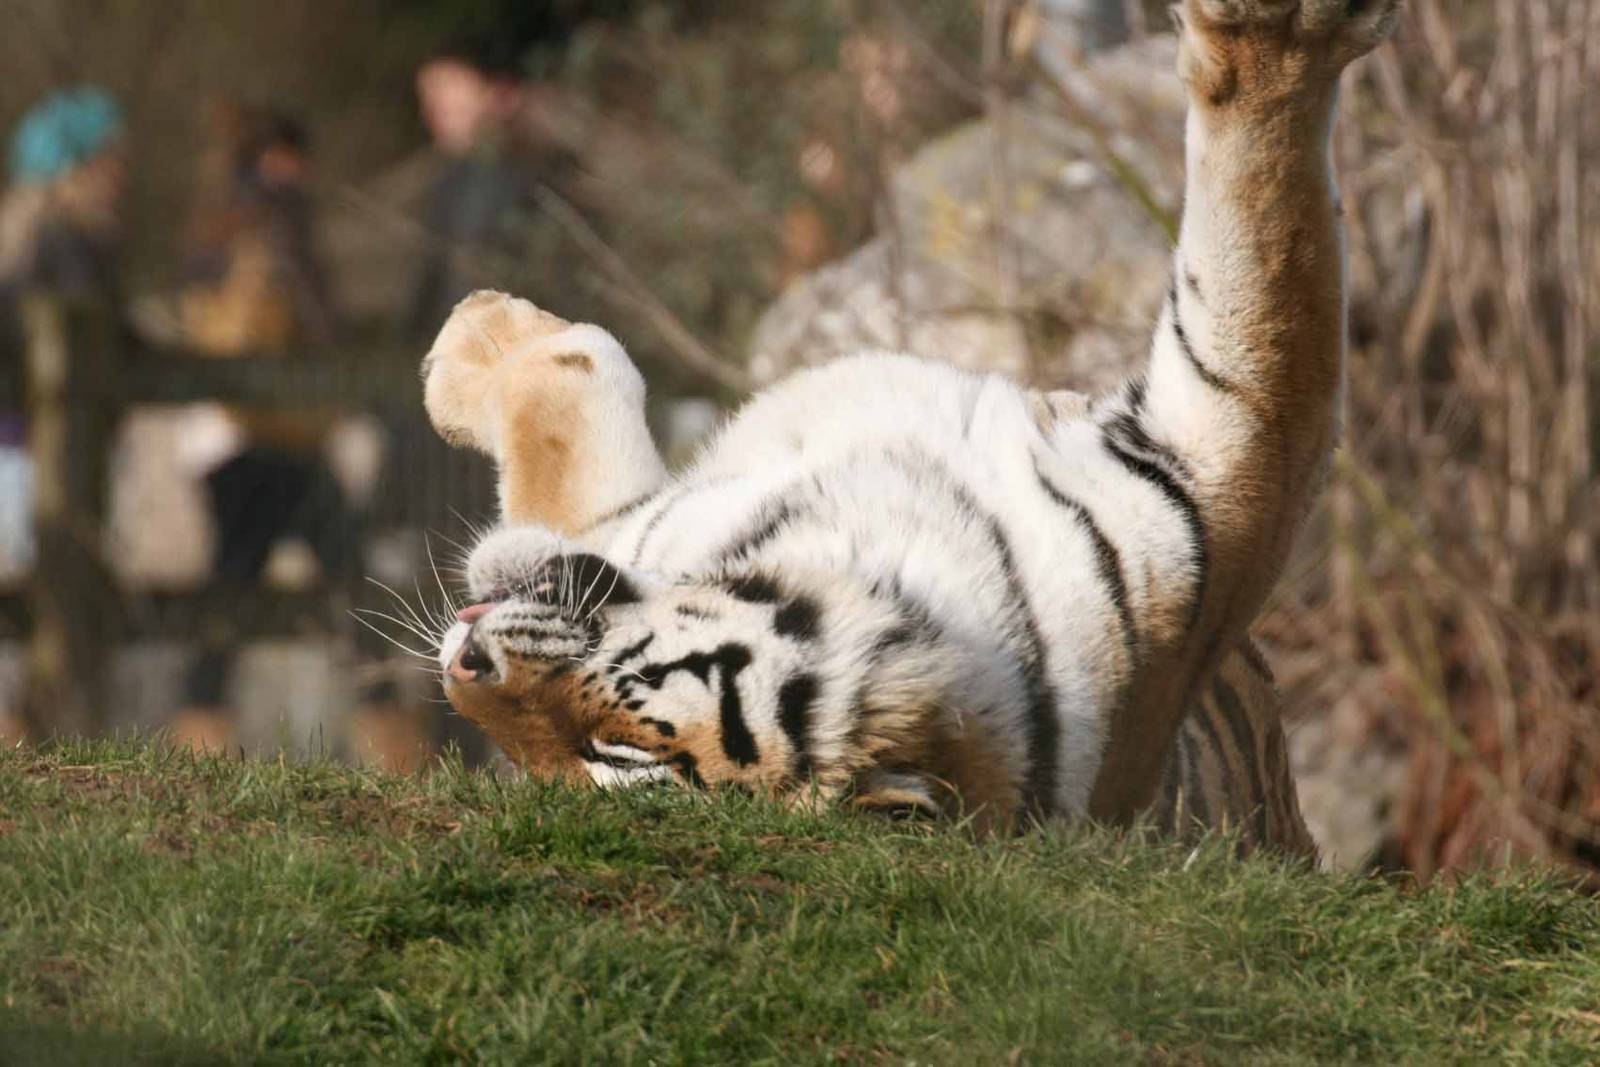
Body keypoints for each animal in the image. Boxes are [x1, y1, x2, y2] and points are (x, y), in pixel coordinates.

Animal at [420, 0, 1399, 852]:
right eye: (542, 760)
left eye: (615, 751)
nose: (464, 667)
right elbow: (576, 377)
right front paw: (471, 343)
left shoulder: (1227, 481)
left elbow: (1270, 264)